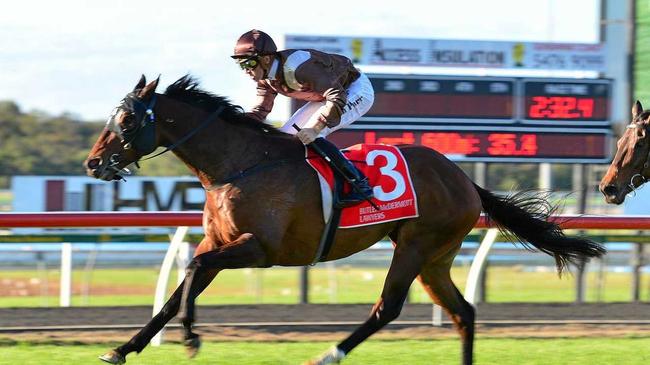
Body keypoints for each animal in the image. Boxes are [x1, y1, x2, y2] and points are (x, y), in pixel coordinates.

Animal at [85, 74, 604, 364]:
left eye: (127, 121)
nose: (93, 164)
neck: (240, 164)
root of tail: (462, 177)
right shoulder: (219, 244)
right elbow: (178, 291)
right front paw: (123, 349)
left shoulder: (260, 249)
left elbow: (191, 272)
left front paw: (192, 338)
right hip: (436, 255)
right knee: (463, 312)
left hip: (416, 244)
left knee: (387, 308)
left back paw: (328, 354)